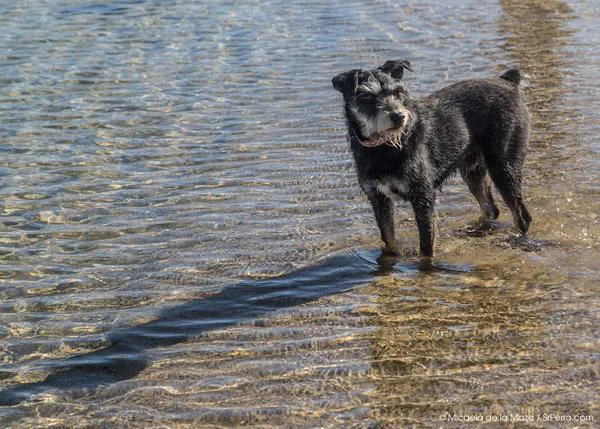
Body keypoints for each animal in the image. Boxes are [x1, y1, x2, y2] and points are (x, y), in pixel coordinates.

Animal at [332, 59, 536, 254]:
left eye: (398, 92)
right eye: (366, 97)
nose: (399, 116)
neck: (384, 147)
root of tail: (508, 82)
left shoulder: (423, 196)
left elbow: (426, 246)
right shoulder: (379, 198)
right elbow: (389, 239)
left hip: (504, 167)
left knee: (521, 216)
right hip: (472, 171)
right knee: (490, 209)